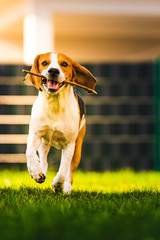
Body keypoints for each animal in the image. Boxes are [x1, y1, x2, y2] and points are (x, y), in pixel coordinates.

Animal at [25, 52, 97, 193]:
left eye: (64, 64)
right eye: (44, 63)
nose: (53, 71)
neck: (54, 104)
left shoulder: (69, 145)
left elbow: (63, 170)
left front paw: (58, 185)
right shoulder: (35, 134)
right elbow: (29, 152)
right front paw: (35, 171)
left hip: (77, 148)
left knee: (70, 172)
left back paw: (67, 189)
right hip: (44, 143)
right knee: (44, 160)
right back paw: (41, 168)